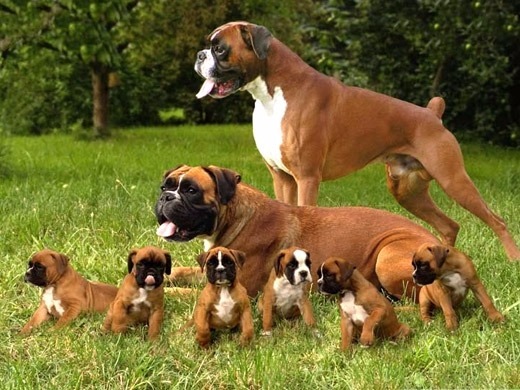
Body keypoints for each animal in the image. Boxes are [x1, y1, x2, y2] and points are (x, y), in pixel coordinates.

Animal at [154, 163, 450, 298]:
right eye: (165, 186)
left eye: (191, 190)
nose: (165, 198)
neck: (235, 216)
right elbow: (181, 272)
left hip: (387, 258)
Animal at [193, 19, 516, 260]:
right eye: (209, 46)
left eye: (219, 49)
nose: (199, 56)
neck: (272, 94)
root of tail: (431, 113)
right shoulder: (281, 177)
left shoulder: (307, 178)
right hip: (408, 192)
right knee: (449, 225)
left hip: (453, 180)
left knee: (497, 221)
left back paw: (513, 259)